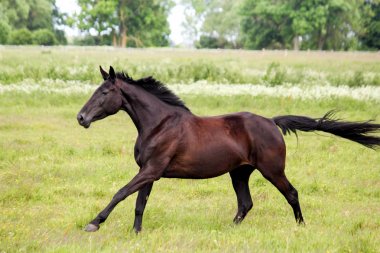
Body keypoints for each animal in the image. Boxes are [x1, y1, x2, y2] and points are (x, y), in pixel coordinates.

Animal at [77, 65, 380, 233]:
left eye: (105, 93)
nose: (81, 118)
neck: (159, 124)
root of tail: (272, 122)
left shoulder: (151, 170)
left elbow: (120, 193)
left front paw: (94, 223)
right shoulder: (149, 172)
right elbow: (139, 203)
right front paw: (136, 233)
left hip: (272, 170)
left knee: (291, 193)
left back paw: (301, 226)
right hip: (240, 173)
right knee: (246, 203)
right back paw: (229, 229)